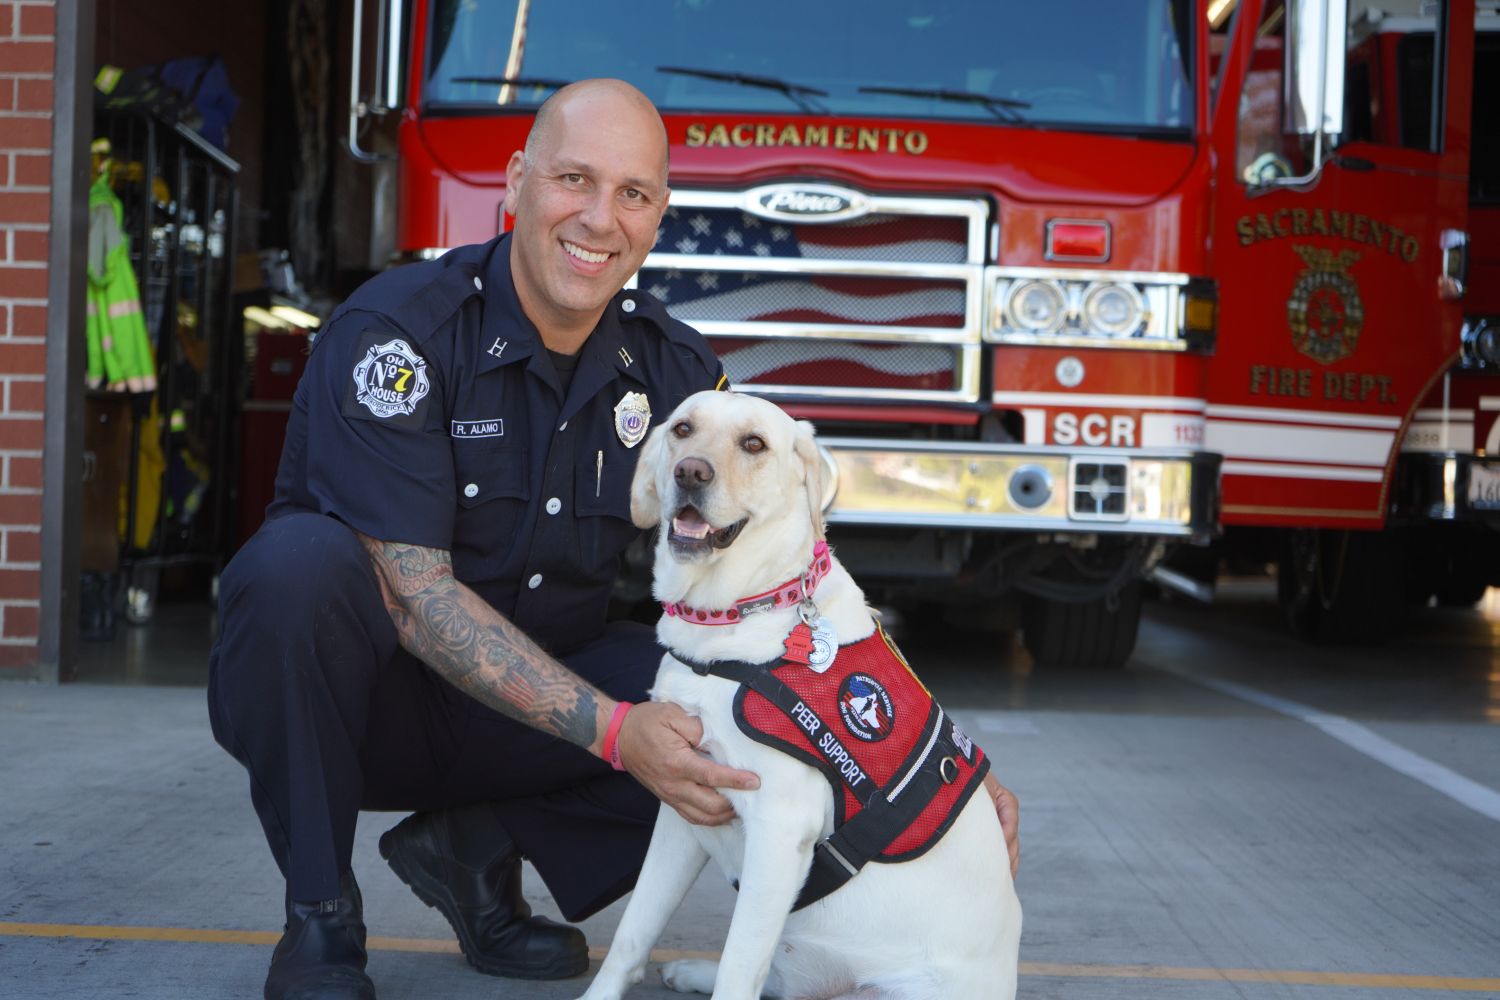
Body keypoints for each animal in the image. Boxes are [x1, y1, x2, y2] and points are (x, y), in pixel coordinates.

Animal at [573, 389, 1020, 1000]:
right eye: (683, 430)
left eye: (754, 444)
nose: (691, 472)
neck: (734, 614)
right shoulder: (683, 803)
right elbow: (634, 931)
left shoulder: (780, 829)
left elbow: (739, 966)